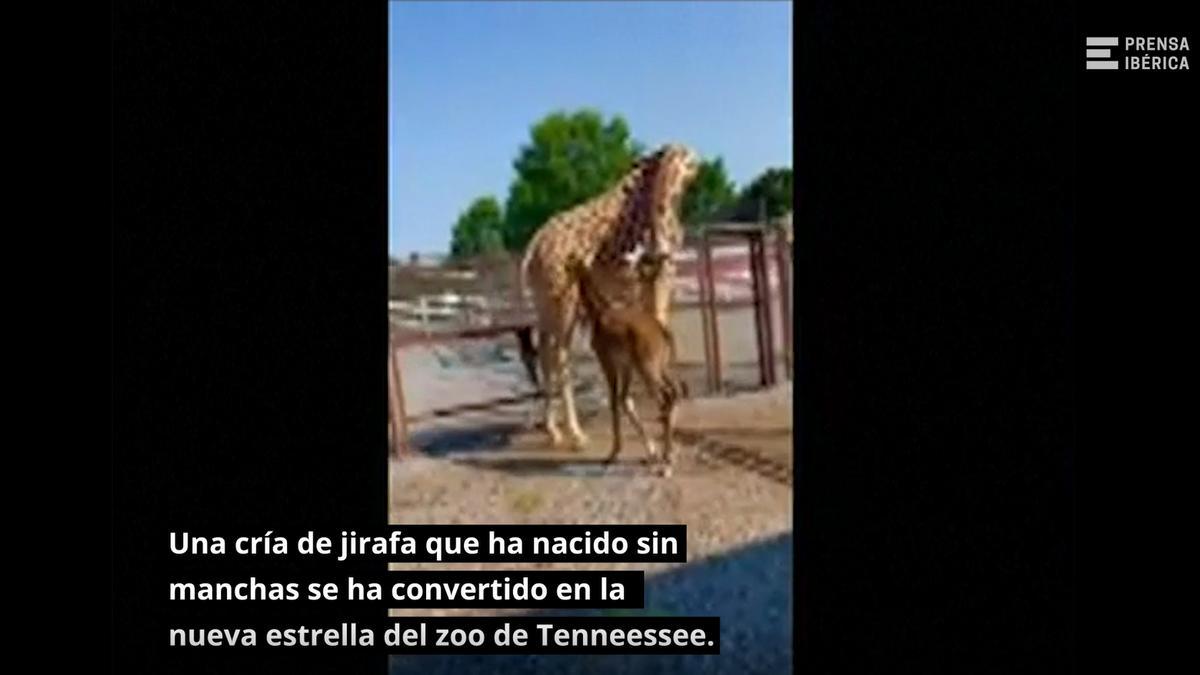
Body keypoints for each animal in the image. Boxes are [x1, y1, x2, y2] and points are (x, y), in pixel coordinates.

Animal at [520, 143, 700, 448]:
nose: (654, 244)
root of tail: (532, 251)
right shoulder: (662, 276)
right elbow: (660, 324)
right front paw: (665, 415)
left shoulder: (649, 282)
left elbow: (656, 326)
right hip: (564, 302)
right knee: (559, 354)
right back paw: (576, 433)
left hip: (547, 304)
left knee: (545, 352)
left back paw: (554, 431)